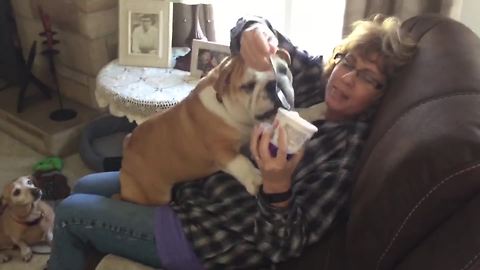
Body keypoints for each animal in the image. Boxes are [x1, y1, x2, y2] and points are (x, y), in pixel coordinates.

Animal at [120, 49, 294, 205]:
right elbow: (240, 161)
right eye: (248, 86)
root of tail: (127, 148)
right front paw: (254, 178)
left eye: (283, 70)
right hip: (153, 194)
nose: (274, 83)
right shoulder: (220, 149)